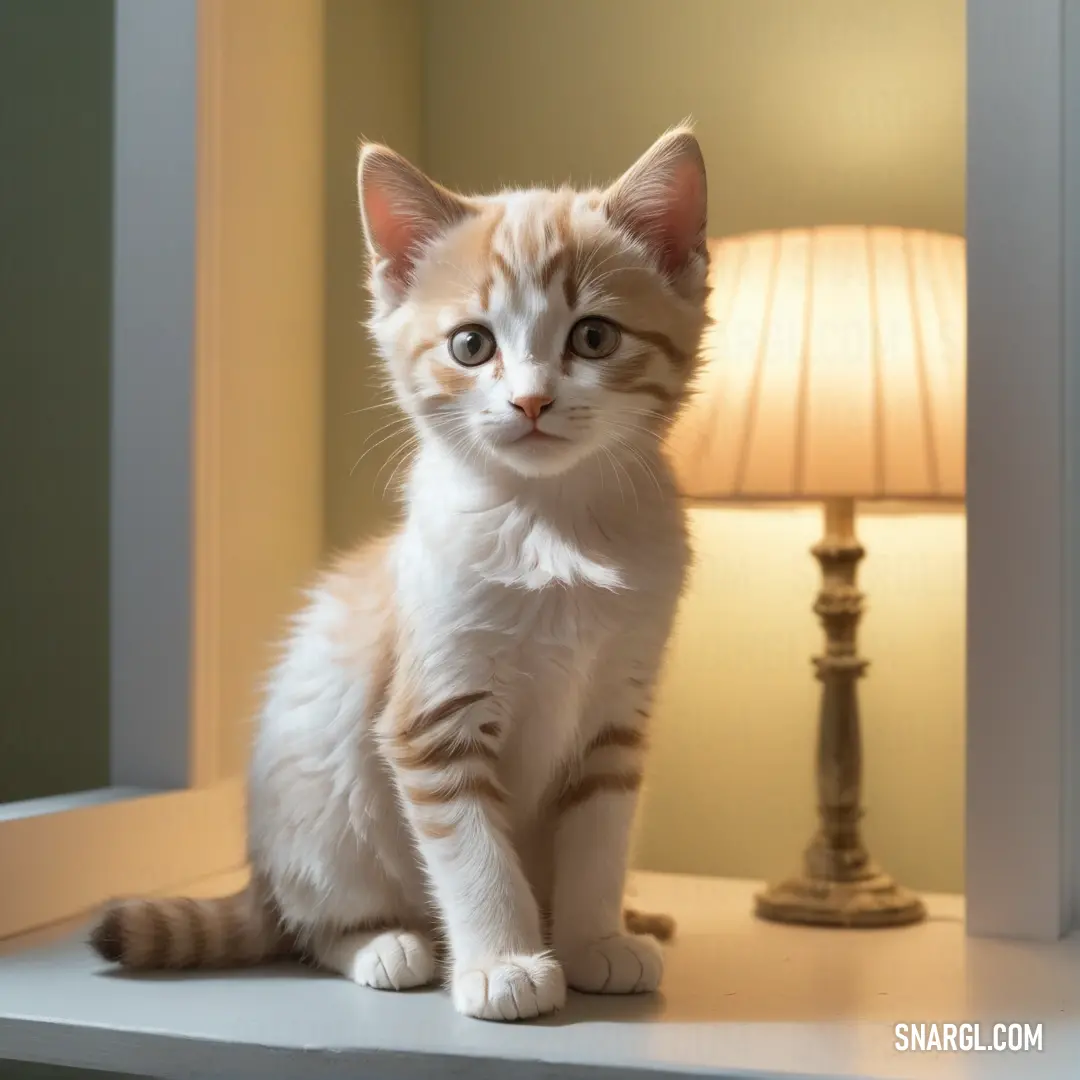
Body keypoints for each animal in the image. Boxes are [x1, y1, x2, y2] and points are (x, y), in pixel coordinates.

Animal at [90, 126, 708, 1019]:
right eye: (471, 344)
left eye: (594, 337)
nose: (530, 402)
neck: (550, 528)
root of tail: (259, 875)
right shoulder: (433, 716)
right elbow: (474, 855)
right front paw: (503, 963)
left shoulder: (616, 716)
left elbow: (598, 840)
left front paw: (594, 937)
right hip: (319, 803)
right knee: (308, 928)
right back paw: (385, 945)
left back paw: (632, 919)